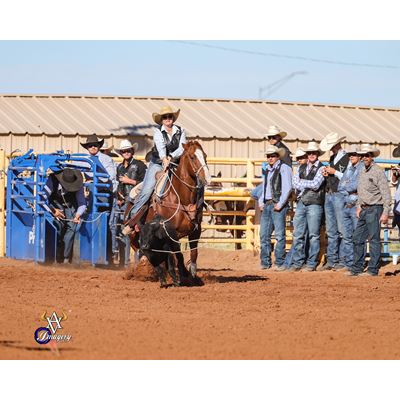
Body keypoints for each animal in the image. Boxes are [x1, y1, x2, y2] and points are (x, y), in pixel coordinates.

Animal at [126, 141, 212, 284]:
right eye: (193, 157)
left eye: (205, 156)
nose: (207, 178)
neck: (181, 197)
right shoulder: (172, 234)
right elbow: (179, 255)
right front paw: (183, 275)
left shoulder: (196, 230)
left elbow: (194, 254)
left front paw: (192, 275)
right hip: (133, 233)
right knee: (137, 248)